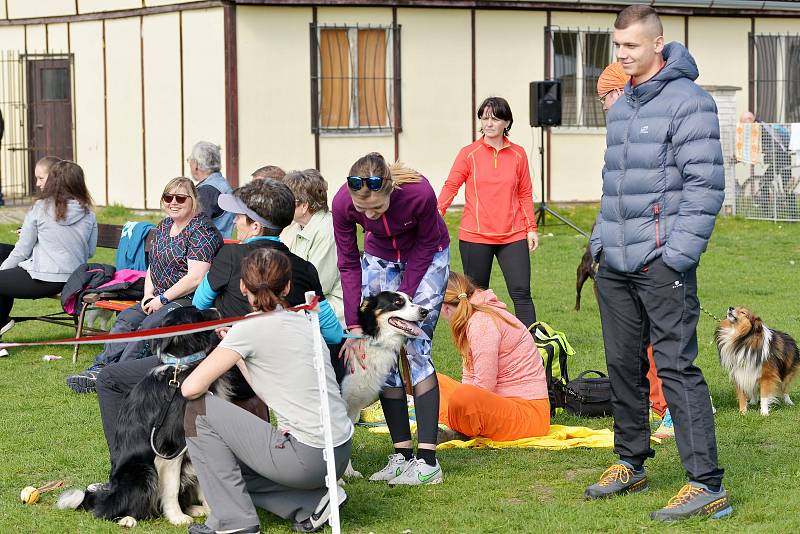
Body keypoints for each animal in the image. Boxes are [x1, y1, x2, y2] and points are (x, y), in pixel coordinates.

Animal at [58, 308, 244, 528]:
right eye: (198, 314)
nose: (216, 309)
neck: (183, 367)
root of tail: (108, 495)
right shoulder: (170, 445)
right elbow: (171, 487)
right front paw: (177, 518)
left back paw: (194, 508)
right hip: (142, 471)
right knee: (114, 509)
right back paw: (128, 519)